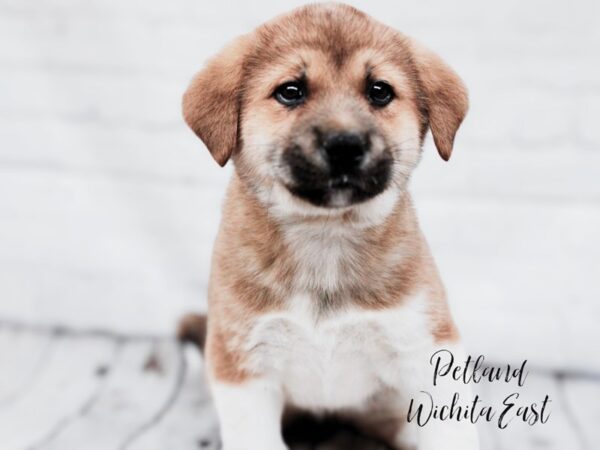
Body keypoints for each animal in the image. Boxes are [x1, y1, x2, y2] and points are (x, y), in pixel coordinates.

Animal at [182, 4, 478, 450]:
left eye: (379, 91)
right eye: (290, 91)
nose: (345, 146)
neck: (326, 237)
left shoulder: (422, 346)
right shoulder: (243, 365)